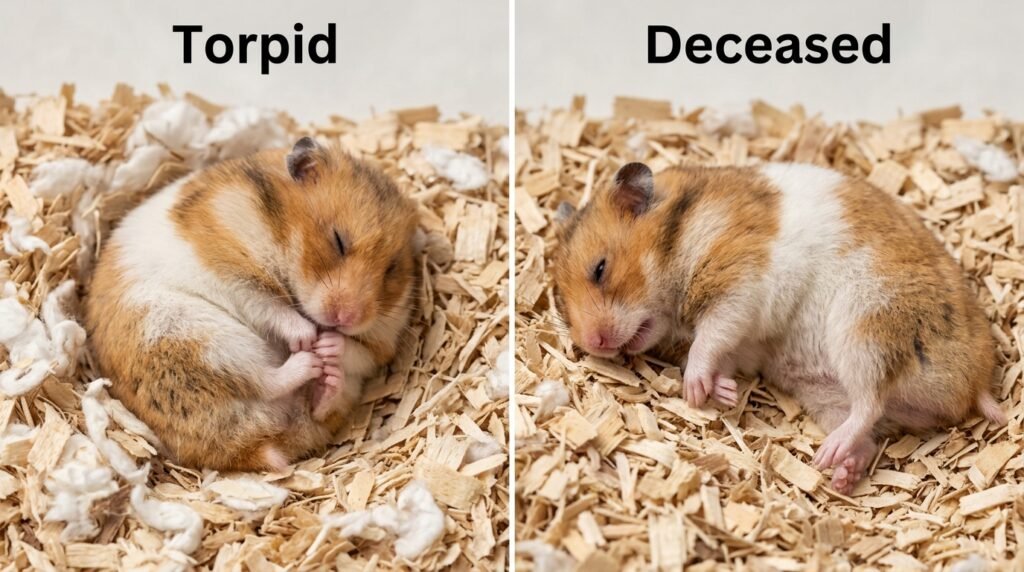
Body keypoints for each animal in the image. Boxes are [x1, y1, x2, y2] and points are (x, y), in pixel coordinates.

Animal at [85, 137, 419, 472]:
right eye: (338, 241)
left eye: (392, 268)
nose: (348, 318)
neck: (282, 233)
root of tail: (249, 446)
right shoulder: (232, 273)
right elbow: (271, 308)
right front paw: (308, 339)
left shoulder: (382, 341)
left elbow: (359, 352)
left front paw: (327, 345)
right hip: (195, 338)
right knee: (262, 381)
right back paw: (307, 361)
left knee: (317, 408)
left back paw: (326, 377)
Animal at [552, 161, 1006, 494]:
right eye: (562, 303)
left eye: (600, 269)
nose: (594, 343)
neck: (678, 238)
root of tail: (973, 388)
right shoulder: (742, 341)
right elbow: (722, 355)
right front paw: (724, 392)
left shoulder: (737, 286)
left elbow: (708, 342)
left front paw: (695, 391)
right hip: (826, 392)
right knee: (869, 434)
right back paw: (841, 473)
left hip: (867, 328)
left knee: (870, 403)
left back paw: (828, 455)